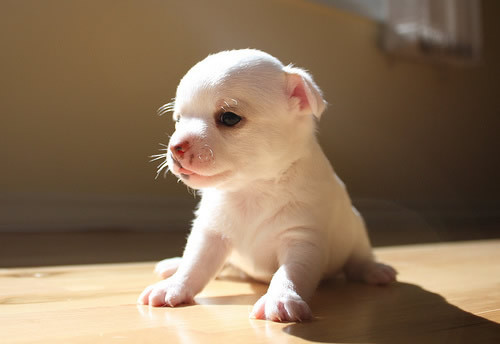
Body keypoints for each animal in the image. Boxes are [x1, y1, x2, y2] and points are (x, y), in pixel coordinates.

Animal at [139, 49, 396, 322]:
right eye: (178, 120)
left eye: (229, 118)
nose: (175, 147)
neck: (251, 189)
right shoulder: (211, 234)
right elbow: (195, 264)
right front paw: (174, 285)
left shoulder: (301, 240)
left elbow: (289, 273)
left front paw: (280, 298)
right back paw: (174, 265)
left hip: (356, 233)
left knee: (358, 260)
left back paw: (374, 269)